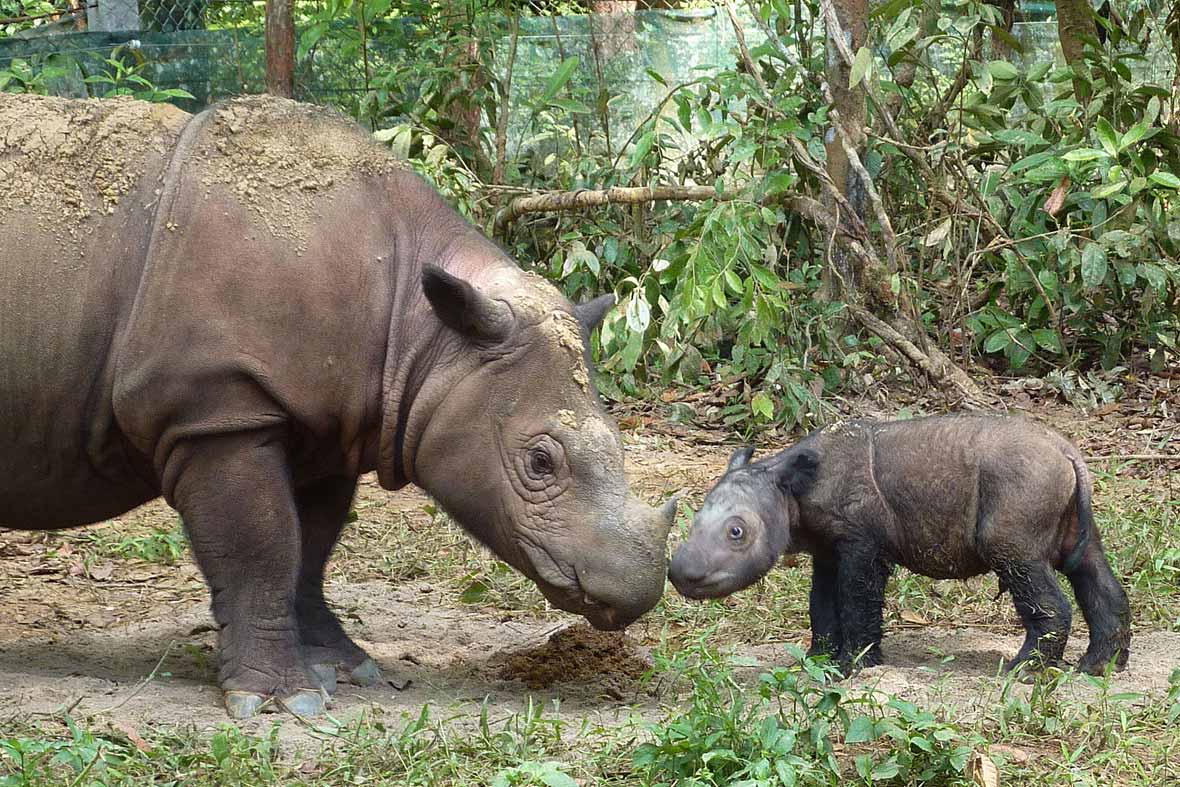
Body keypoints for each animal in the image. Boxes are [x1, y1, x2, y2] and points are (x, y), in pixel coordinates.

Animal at [0, 93, 674, 722]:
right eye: (540, 462)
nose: (637, 591)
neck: (423, 331)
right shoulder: (216, 409)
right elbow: (261, 546)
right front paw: (279, 701)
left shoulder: (328, 423)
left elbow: (310, 547)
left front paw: (344, 667)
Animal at [670, 415, 1128, 679]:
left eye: (736, 532)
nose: (679, 574)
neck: (788, 489)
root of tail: (1068, 452)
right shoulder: (828, 549)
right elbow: (821, 604)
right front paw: (816, 661)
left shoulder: (862, 543)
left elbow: (857, 600)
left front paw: (854, 668)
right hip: (1061, 494)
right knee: (1089, 566)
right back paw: (1099, 669)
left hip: (1023, 486)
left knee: (1020, 562)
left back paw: (1022, 673)